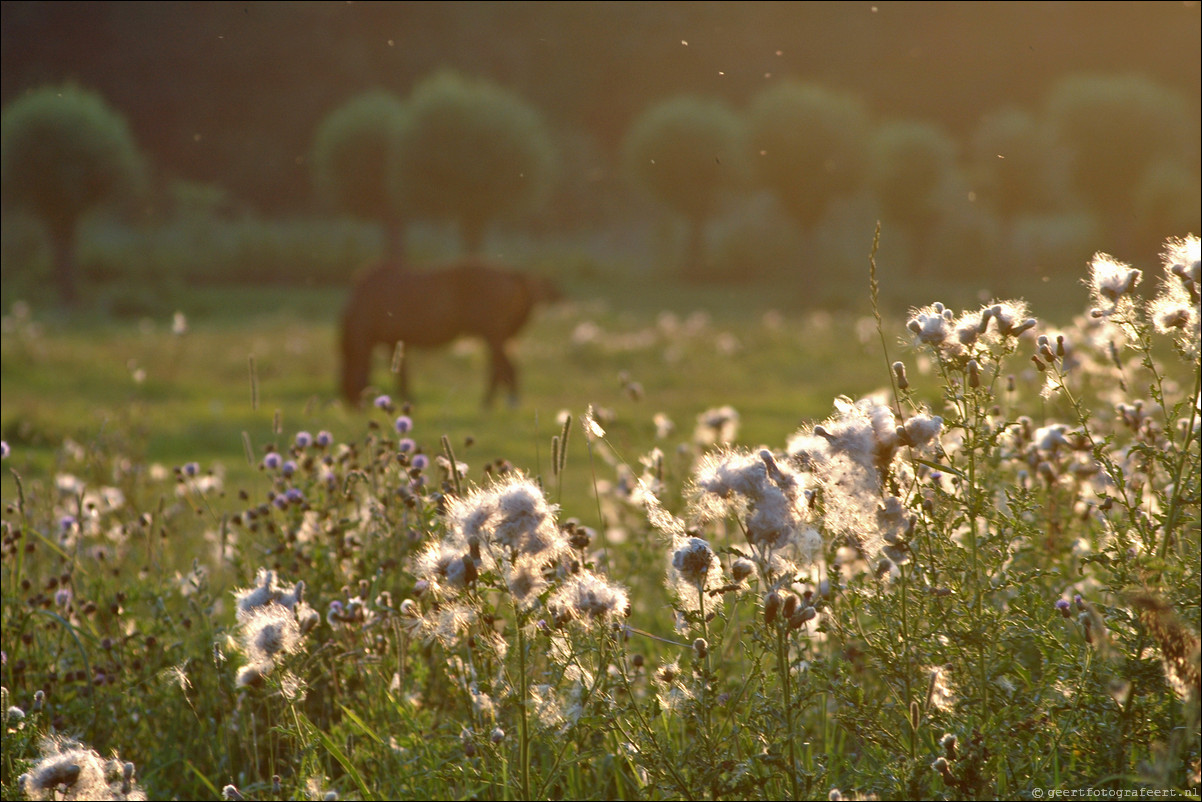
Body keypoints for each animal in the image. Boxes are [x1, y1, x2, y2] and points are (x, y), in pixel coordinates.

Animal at [341, 258, 560, 408]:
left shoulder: (391, 341)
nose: (353, 407)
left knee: (506, 369)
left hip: (493, 334)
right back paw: (490, 404)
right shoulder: (394, 342)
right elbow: (402, 374)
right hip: (498, 336)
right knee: (501, 369)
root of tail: (512, 273)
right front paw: (408, 401)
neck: (369, 297)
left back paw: (500, 405)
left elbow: (401, 375)